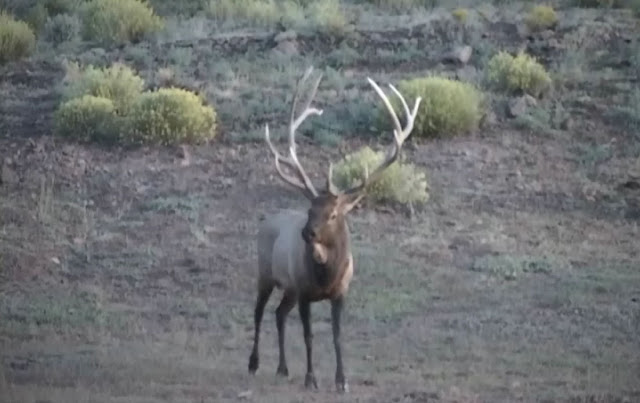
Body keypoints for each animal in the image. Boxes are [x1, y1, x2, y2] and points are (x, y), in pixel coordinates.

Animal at [247, 66, 422, 393]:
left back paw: (282, 368)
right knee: (259, 312)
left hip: (288, 288)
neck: (325, 275)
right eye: (309, 210)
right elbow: (309, 336)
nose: (307, 233)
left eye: (332, 214)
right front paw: (311, 378)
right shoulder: (304, 291)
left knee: (279, 314)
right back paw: (253, 364)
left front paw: (342, 380)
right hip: (266, 273)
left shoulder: (340, 292)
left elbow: (337, 336)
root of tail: (267, 220)